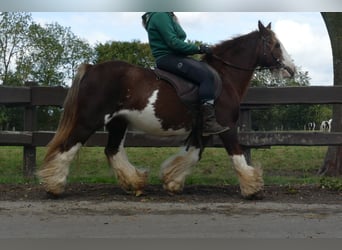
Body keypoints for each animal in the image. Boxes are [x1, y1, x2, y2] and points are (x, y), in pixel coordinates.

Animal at [36, 22, 294, 201]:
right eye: (276, 44)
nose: (291, 69)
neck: (224, 76)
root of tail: (91, 68)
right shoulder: (226, 127)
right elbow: (237, 157)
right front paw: (253, 189)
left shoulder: (202, 130)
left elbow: (192, 155)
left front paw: (172, 182)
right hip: (89, 120)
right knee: (67, 148)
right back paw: (54, 185)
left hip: (118, 123)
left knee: (112, 151)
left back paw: (135, 182)